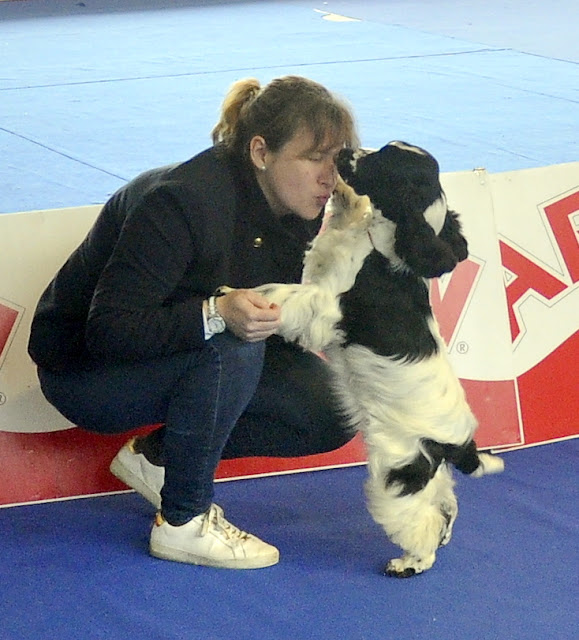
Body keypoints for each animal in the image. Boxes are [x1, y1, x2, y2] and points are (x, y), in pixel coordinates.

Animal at [229, 141, 505, 577]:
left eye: (382, 160)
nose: (344, 151)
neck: (381, 246)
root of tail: (461, 441)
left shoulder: (324, 305)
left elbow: (282, 293)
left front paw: (234, 297)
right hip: (427, 471)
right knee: (446, 504)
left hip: (399, 469)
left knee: (421, 521)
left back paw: (409, 564)